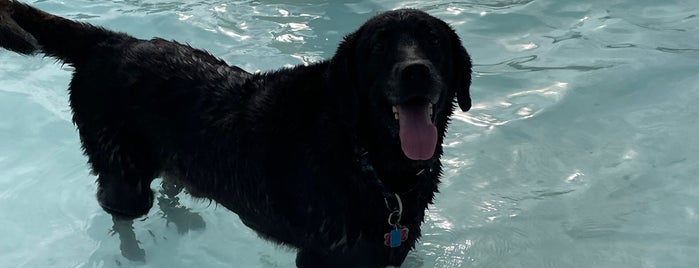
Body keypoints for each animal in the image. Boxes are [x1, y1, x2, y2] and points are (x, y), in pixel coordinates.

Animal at [1, 0, 470, 266]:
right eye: (378, 46)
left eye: (432, 41)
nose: (415, 71)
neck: (368, 158)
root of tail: (111, 42)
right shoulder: (322, 257)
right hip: (124, 174)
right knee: (122, 213)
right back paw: (134, 254)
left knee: (172, 183)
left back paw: (183, 217)